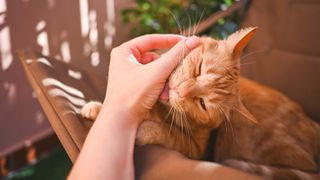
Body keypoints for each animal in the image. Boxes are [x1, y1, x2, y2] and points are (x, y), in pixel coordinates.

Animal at [82, 27, 320, 179]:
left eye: (202, 103)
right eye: (200, 69)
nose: (181, 90)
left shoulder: (197, 150)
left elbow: (169, 134)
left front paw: (146, 128)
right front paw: (97, 107)